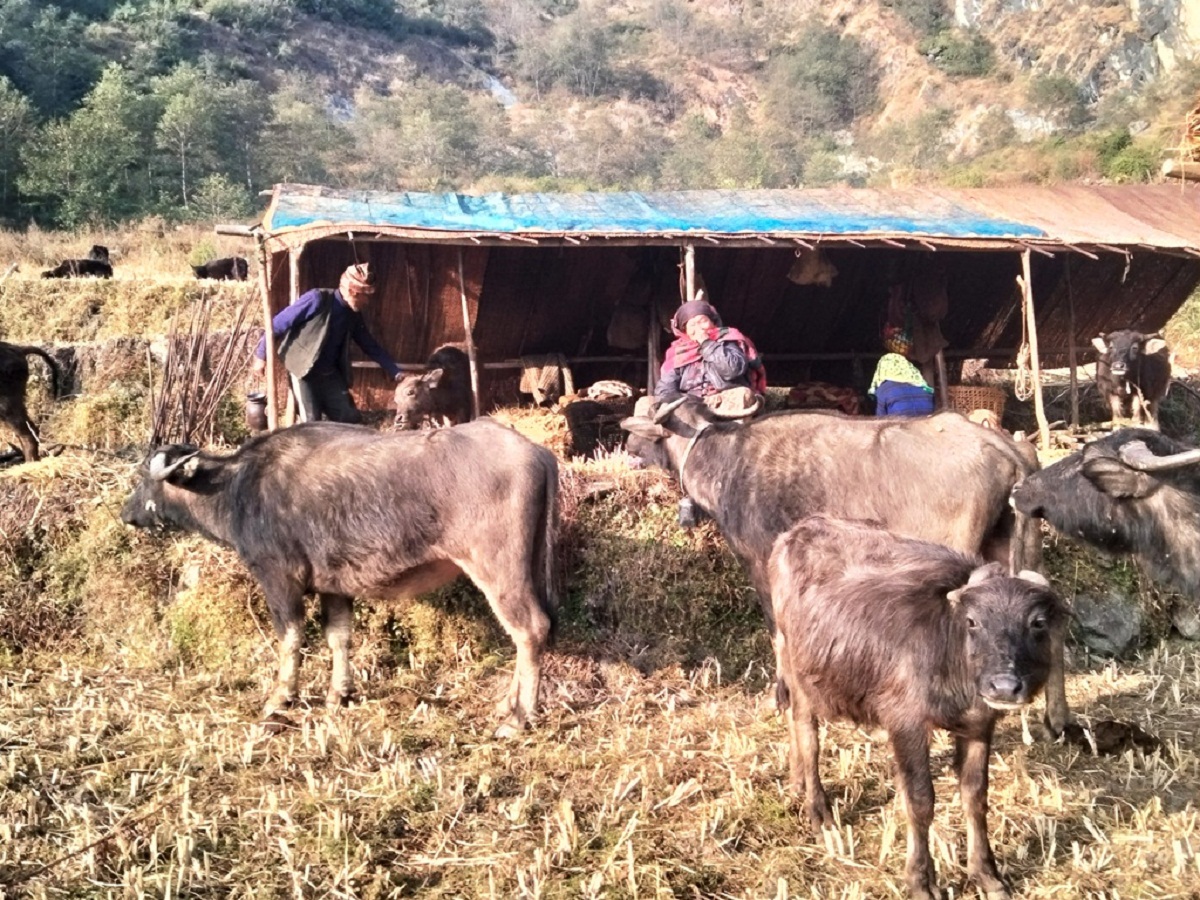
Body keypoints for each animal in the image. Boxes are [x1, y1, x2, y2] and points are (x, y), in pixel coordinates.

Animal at [121, 420, 556, 734]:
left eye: (144, 477)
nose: (126, 513)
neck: (237, 488)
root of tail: (537, 453)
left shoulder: (279, 579)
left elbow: (291, 639)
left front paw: (280, 699)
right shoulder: (334, 587)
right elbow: (339, 637)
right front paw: (338, 694)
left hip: (498, 570)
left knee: (529, 628)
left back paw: (519, 718)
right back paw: (507, 704)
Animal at [619, 398, 1070, 734]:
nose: (626, 443)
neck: (727, 462)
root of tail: (1000, 446)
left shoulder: (763, 566)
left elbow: (777, 634)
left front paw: (782, 695)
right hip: (1022, 550)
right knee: (1051, 624)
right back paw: (1057, 720)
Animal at [768, 513, 1060, 900]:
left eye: (1037, 623)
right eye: (973, 621)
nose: (1003, 686)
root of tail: (797, 532)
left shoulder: (979, 726)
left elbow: (975, 796)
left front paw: (986, 874)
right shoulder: (906, 723)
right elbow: (920, 801)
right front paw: (922, 881)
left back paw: (797, 783)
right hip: (798, 670)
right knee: (806, 730)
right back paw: (819, 810)